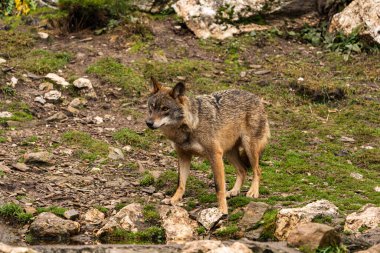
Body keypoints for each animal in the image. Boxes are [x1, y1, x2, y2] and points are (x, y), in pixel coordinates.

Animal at [145, 78, 270, 214]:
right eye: (152, 107)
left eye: (165, 109)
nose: (148, 123)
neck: (192, 124)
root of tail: (256, 97)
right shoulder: (183, 156)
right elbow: (181, 183)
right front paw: (173, 199)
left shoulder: (215, 155)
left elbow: (219, 187)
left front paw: (222, 209)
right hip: (229, 153)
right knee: (243, 170)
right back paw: (233, 191)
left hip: (249, 149)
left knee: (257, 170)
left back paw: (253, 192)